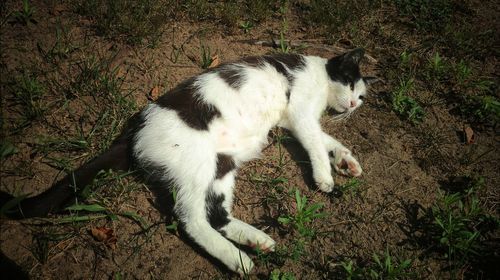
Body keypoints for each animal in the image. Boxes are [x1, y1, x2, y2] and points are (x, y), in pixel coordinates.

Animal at [0, 47, 376, 274]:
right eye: (351, 84)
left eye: (361, 97)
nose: (354, 105)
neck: (318, 76)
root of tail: (133, 132)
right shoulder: (299, 113)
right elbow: (315, 142)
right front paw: (325, 176)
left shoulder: (293, 121)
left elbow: (328, 140)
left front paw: (347, 161)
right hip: (197, 167)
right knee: (191, 220)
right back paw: (238, 259)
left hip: (222, 166)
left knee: (217, 214)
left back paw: (255, 241)